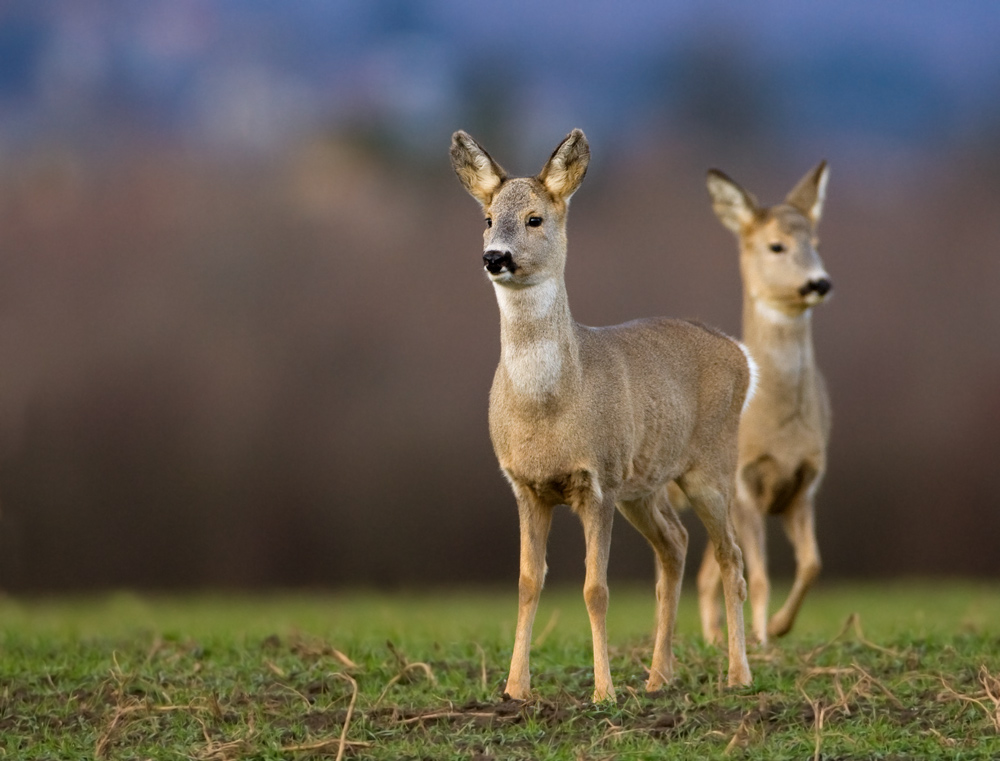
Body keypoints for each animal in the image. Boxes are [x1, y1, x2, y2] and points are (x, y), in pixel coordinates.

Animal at [450, 129, 752, 700]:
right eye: (487, 218)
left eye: (534, 219)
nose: (494, 257)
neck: (548, 407)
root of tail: (741, 353)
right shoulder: (525, 484)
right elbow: (528, 581)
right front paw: (515, 690)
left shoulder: (599, 480)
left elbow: (596, 589)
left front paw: (603, 692)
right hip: (645, 485)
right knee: (675, 545)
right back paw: (658, 677)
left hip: (712, 465)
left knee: (731, 556)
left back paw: (738, 675)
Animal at [700, 163, 840, 644]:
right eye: (776, 245)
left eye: (817, 243)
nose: (819, 282)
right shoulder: (744, 483)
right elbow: (758, 575)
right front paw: (762, 638)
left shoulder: (806, 483)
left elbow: (813, 563)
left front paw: (778, 627)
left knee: (702, 575)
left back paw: (713, 638)